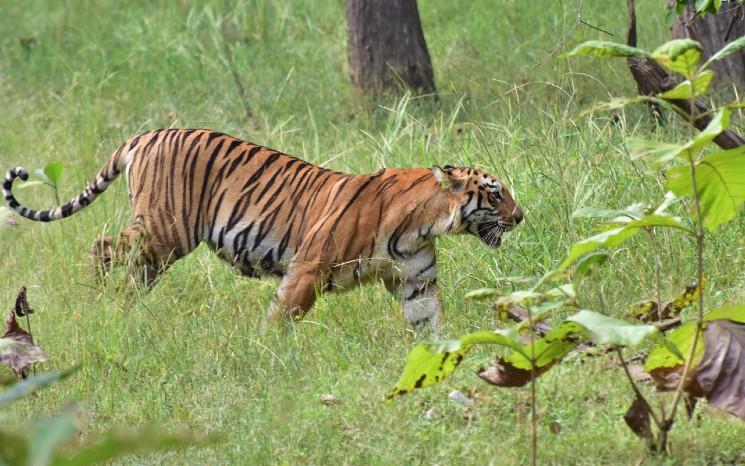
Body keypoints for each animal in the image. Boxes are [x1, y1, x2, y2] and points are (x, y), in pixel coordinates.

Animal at [1, 129, 524, 330]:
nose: (521, 217)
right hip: (166, 230)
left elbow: (430, 324)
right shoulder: (309, 267)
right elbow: (283, 314)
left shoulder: (417, 283)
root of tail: (147, 134)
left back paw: (126, 310)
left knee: (131, 268)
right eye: (496, 194)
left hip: (159, 242)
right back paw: (101, 301)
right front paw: (266, 346)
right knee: (102, 244)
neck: (424, 223)